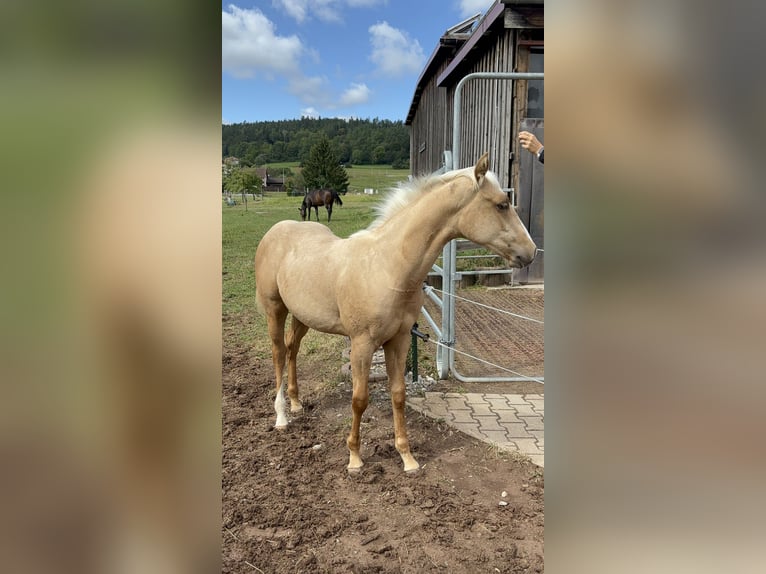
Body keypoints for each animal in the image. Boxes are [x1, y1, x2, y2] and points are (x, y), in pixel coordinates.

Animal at [255, 155, 536, 474]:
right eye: (502, 204)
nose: (531, 252)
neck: (388, 266)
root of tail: (275, 230)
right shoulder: (362, 344)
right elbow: (359, 399)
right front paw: (354, 457)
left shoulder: (399, 340)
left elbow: (399, 394)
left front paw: (407, 457)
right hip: (275, 309)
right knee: (278, 353)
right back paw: (281, 416)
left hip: (303, 316)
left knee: (292, 349)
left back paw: (296, 403)